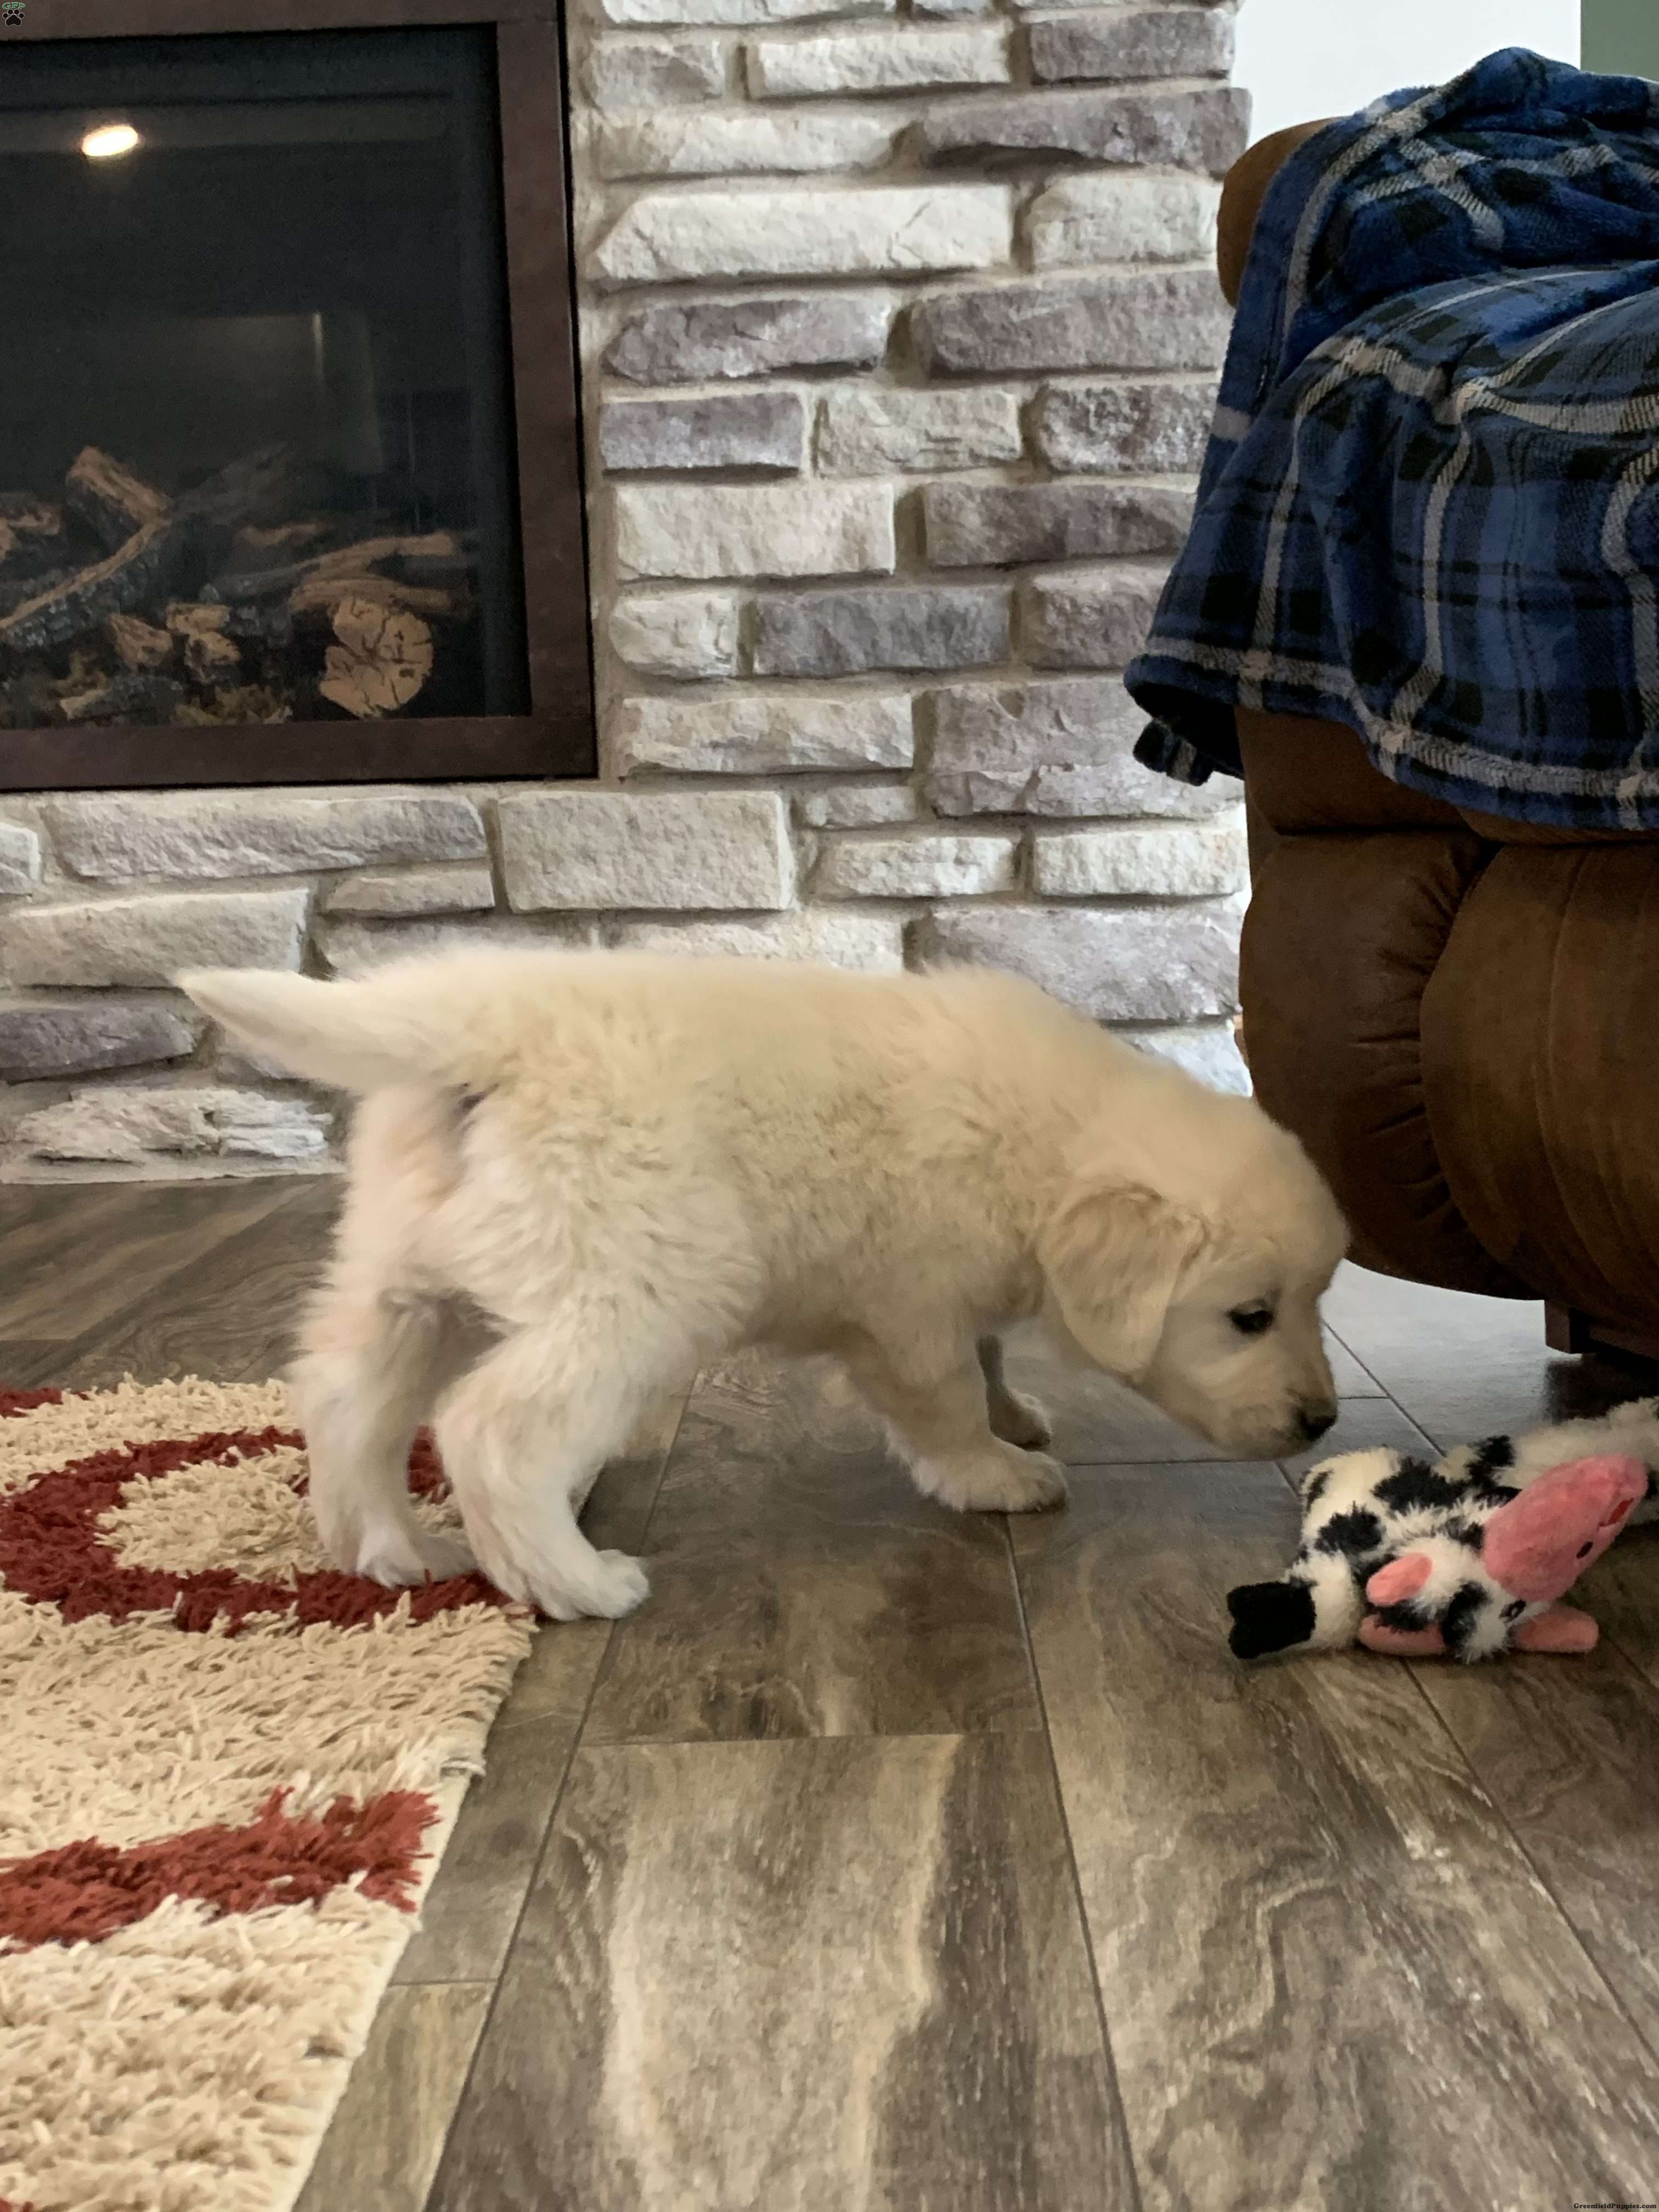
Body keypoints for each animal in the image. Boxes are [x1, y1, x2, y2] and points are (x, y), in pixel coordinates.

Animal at [180, 951, 1348, 1621]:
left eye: (1314, 1300)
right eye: (1247, 1317)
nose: (1319, 1421)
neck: (1041, 1141)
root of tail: (486, 1025)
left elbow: (986, 1355)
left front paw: (1016, 1414)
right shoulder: (907, 1305)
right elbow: (943, 1398)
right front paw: (994, 1471)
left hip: (404, 1272)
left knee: (348, 1392)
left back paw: (388, 1548)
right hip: (634, 1287)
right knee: (492, 1429)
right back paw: (577, 1582)